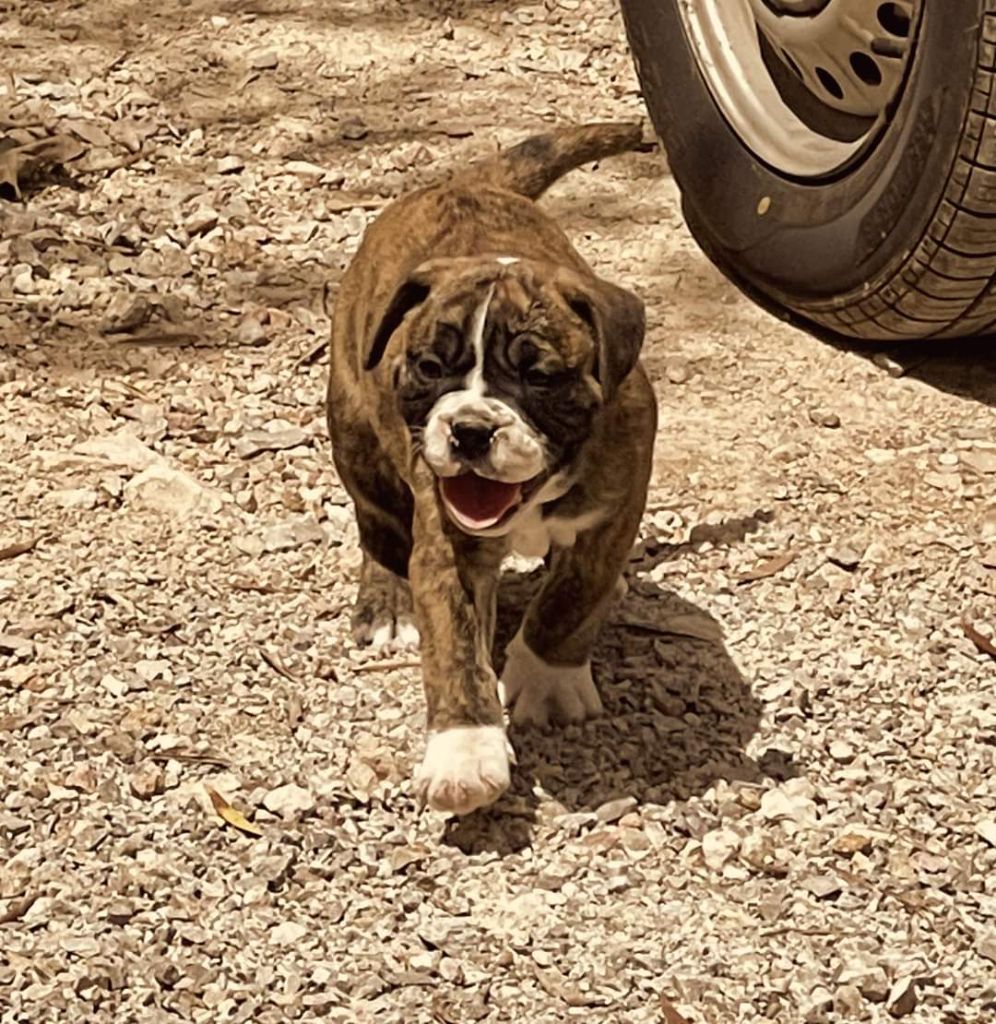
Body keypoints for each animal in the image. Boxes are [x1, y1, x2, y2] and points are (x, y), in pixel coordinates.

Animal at [325, 123, 651, 815]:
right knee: (378, 526)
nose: (471, 428)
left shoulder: (616, 506)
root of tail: (462, 181)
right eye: (428, 368)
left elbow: (572, 597)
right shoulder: (447, 546)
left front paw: (549, 677)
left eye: (539, 377)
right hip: (355, 435)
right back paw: (387, 603)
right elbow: (455, 650)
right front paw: (465, 752)